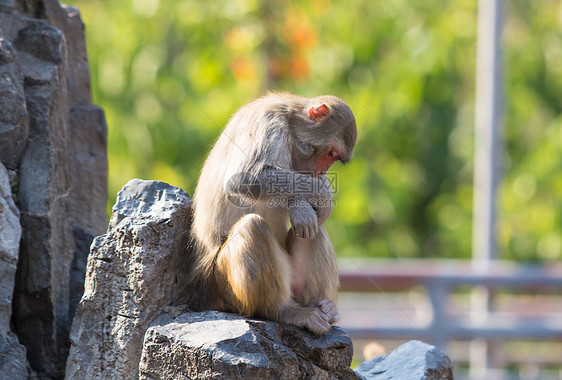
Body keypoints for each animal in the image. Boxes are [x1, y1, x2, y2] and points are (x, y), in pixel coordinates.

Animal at [188, 93, 354, 336]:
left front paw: (305, 204)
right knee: (252, 227)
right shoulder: (269, 124)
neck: (291, 122)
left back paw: (324, 307)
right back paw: (282, 311)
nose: (322, 171)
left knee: (314, 230)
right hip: (224, 287)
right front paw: (321, 193)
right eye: (331, 153)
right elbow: (246, 178)